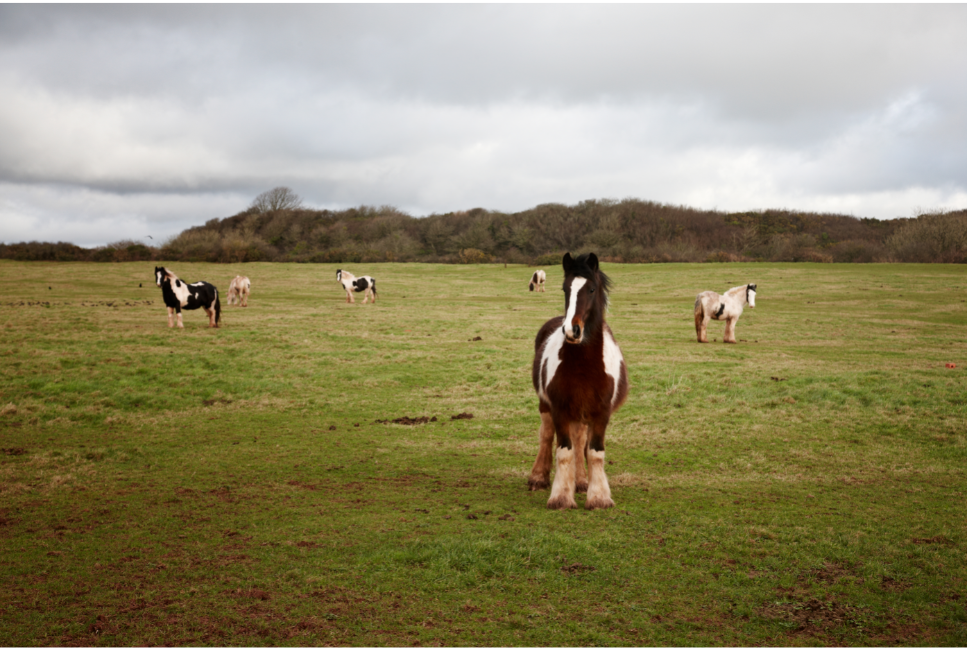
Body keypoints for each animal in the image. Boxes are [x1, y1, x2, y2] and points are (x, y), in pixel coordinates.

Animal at [528, 252, 629, 510]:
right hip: (547, 406)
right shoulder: (560, 408)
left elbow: (594, 452)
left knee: (580, 439)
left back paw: (582, 481)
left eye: (591, 289)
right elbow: (564, 450)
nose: (571, 330)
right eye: (565, 289)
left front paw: (599, 497)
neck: (584, 367)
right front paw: (561, 497)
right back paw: (538, 477)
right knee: (546, 434)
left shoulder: (601, 412)